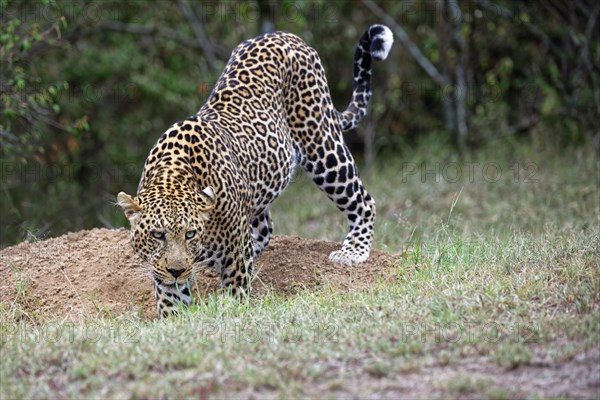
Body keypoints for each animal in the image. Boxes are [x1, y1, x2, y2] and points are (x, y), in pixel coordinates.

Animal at [116, 25, 394, 318]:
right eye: (158, 235)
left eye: (190, 233)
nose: (177, 270)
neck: (173, 174)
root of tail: (284, 35)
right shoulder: (164, 275)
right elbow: (171, 305)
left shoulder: (236, 258)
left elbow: (235, 296)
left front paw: (229, 314)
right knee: (265, 226)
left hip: (322, 144)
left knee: (363, 200)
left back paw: (352, 250)